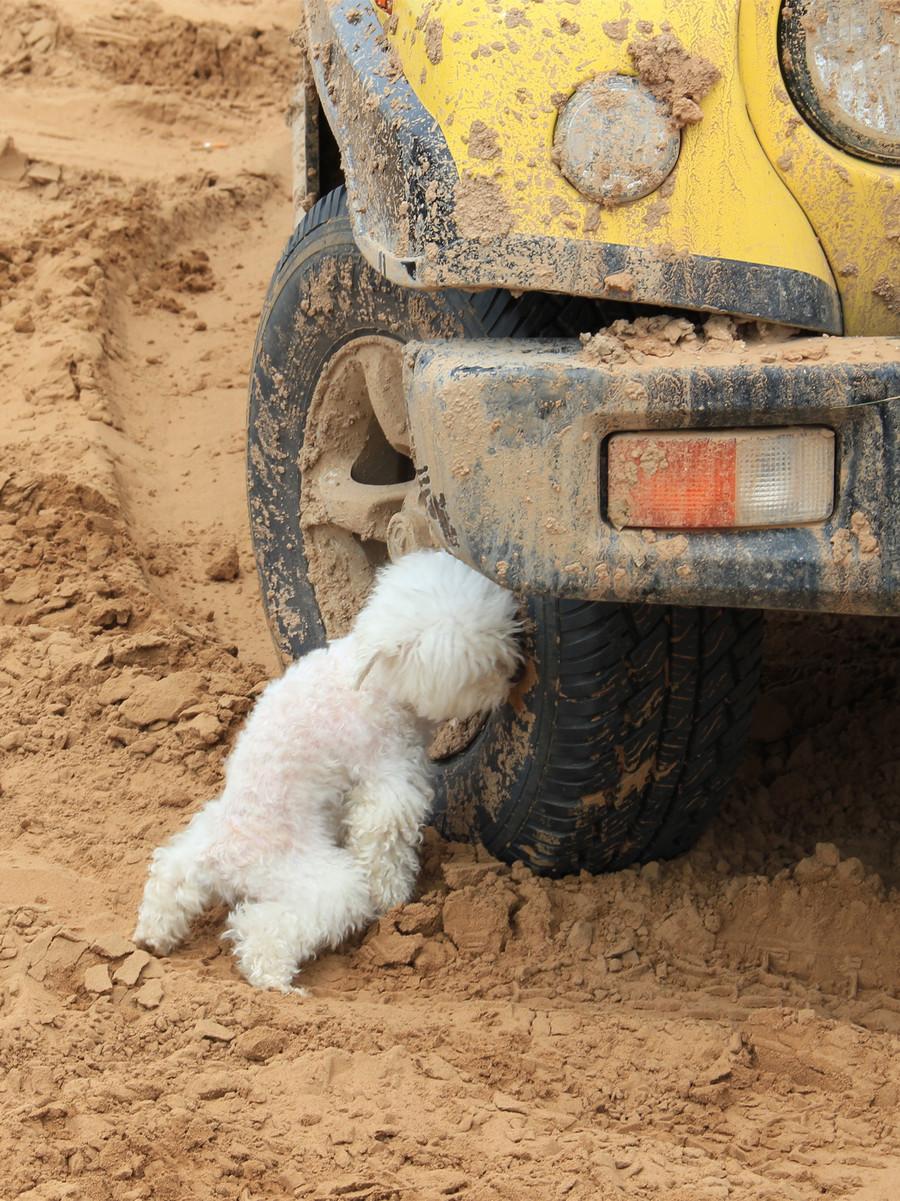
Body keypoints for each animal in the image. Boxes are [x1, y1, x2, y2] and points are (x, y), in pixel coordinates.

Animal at [129, 550, 516, 989]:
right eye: (476, 662)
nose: (511, 672)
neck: (375, 677)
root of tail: (225, 856)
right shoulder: (388, 781)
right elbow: (384, 846)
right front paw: (396, 901)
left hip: (200, 840)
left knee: (170, 874)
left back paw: (154, 935)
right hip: (326, 883)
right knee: (260, 930)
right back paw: (276, 983)